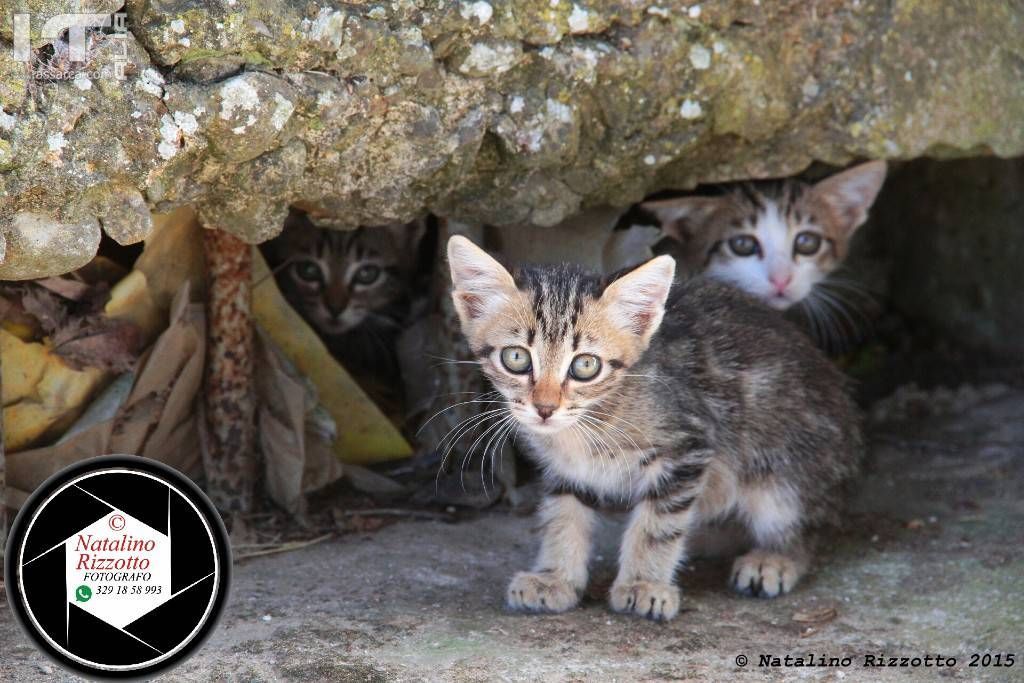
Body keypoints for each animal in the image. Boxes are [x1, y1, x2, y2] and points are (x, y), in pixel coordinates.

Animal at [448, 237, 864, 622]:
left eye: (585, 366)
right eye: (516, 358)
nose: (545, 408)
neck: (587, 424)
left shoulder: (687, 446)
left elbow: (658, 525)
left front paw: (643, 584)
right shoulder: (566, 471)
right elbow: (562, 515)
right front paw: (555, 577)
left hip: (782, 473)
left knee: (808, 525)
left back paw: (774, 558)